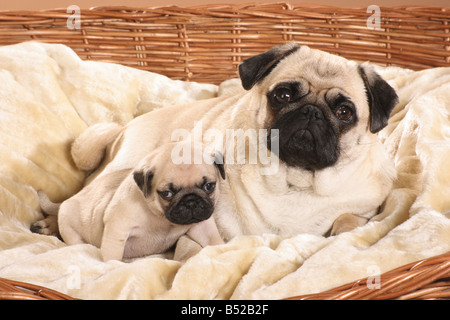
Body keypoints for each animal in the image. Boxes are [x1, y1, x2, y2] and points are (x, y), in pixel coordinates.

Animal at [32, 143, 225, 262]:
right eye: (167, 193)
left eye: (209, 186)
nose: (191, 201)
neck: (162, 219)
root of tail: (71, 198)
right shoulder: (117, 227)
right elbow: (111, 255)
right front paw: (111, 266)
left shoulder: (202, 226)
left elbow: (213, 240)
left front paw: (222, 249)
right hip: (69, 227)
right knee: (75, 241)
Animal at [37, 42, 398, 242]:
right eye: (282, 95)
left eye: (344, 112)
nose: (310, 112)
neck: (295, 181)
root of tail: (123, 129)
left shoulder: (369, 208)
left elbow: (351, 219)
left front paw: (341, 228)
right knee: (74, 201)